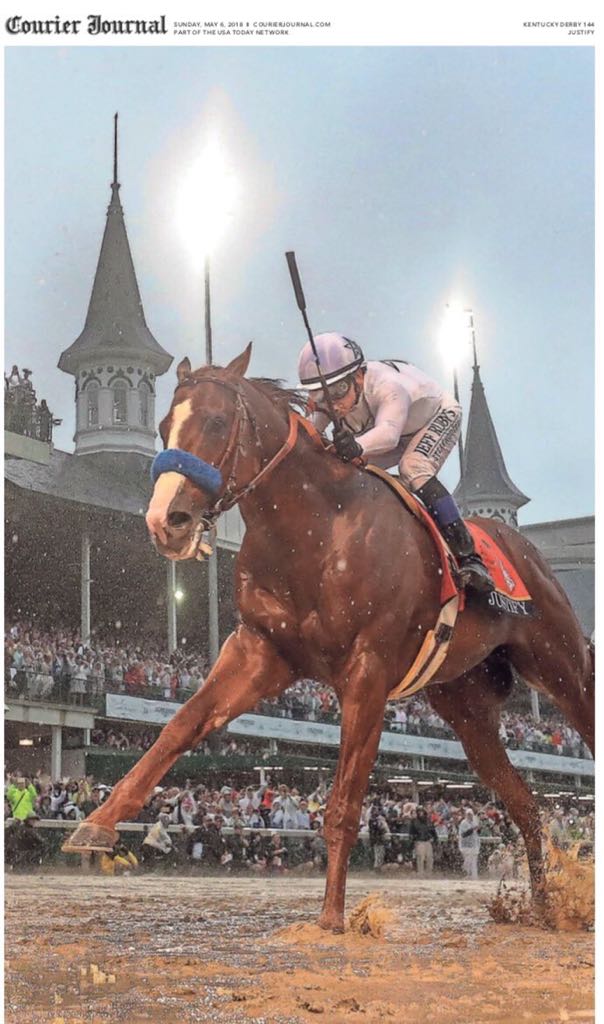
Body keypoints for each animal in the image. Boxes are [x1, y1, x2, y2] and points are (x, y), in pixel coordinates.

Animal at [64, 344, 594, 932]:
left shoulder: (368, 670)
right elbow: (180, 725)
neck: (316, 530)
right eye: (163, 426)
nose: (166, 520)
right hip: (467, 709)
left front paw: (332, 920)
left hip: (563, 667)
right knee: (526, 805)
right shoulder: (259, 650)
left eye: (217, 421)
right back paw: (545, 907)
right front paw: (98, 822)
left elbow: (344, 803)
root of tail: (524, 550)